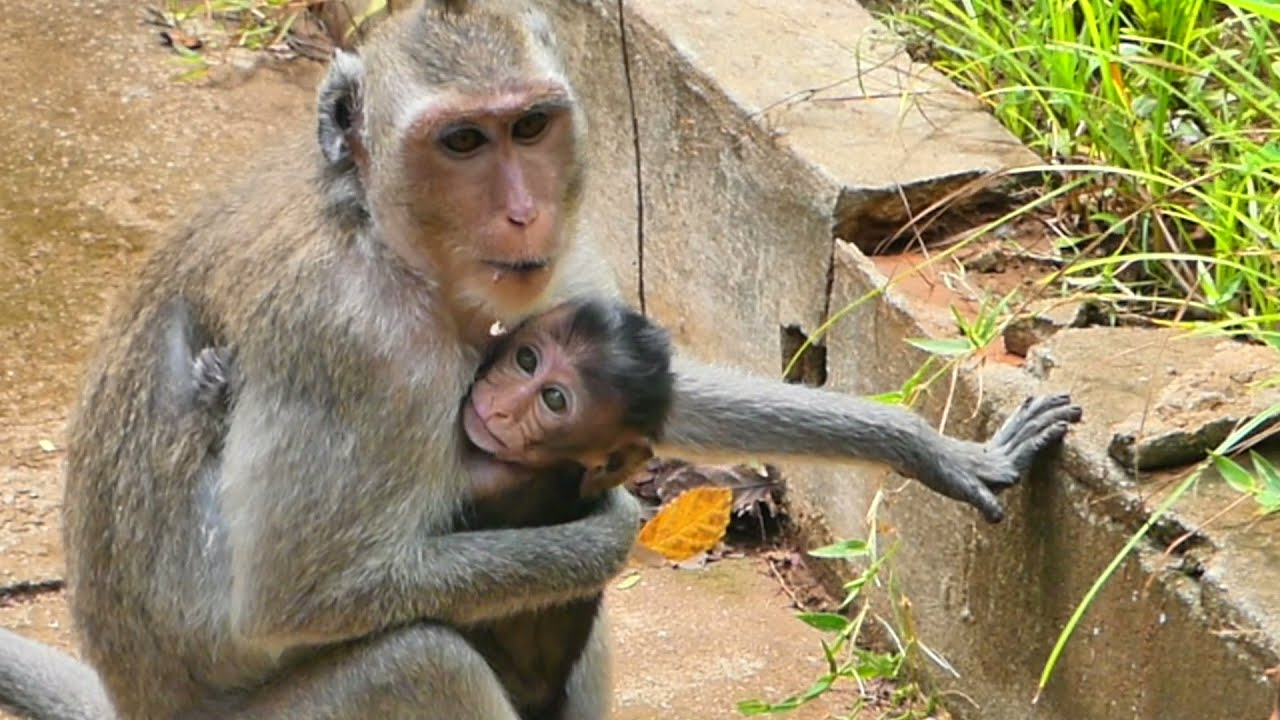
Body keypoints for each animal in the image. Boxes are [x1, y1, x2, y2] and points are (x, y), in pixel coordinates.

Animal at [0, 2, 1083, 719]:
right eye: (461, 143)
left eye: (527, 127)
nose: (523, 212)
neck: (389, 244)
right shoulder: (349, 348)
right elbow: (293, 598)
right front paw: (610, 533)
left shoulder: (557, 275)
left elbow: (656, 387)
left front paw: (925, 446)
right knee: (419, 661)